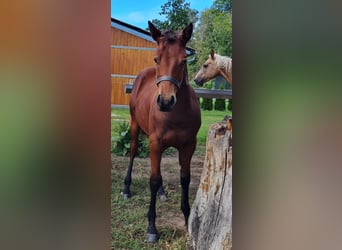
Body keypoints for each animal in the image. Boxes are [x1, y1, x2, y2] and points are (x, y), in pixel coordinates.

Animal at [123, 20, 202, 243]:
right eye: (157, 58)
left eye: (183, 60)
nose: (166, 101)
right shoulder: (155, 143)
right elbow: (153, 178)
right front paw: (152, 228)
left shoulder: (188, 146)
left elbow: (185, 179)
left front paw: (187, 217)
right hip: (135, 127)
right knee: (133, 152)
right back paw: (126, 188)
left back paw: (161, 193)